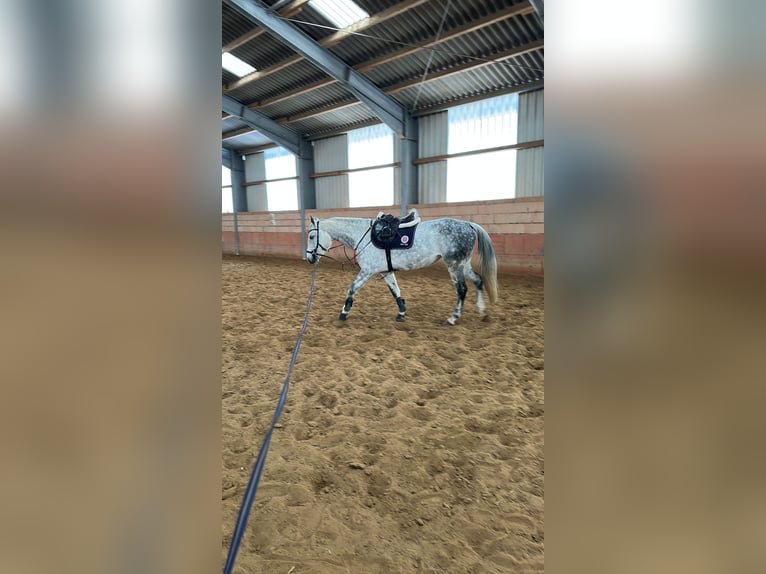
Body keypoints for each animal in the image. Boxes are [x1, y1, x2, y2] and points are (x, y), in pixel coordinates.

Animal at [305, 210, 498, 325]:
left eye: (312, 236)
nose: (309, 258)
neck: (363, 235)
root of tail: (468, 224)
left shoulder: (368, 271)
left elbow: (352, 288)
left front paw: (344, 312)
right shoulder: (385, 271)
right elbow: (395, 291)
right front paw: (402, 312)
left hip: (454, 265)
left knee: (462, 289)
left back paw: (453, 318)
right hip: (463, 265)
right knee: (478, 281)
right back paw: (483, 313)